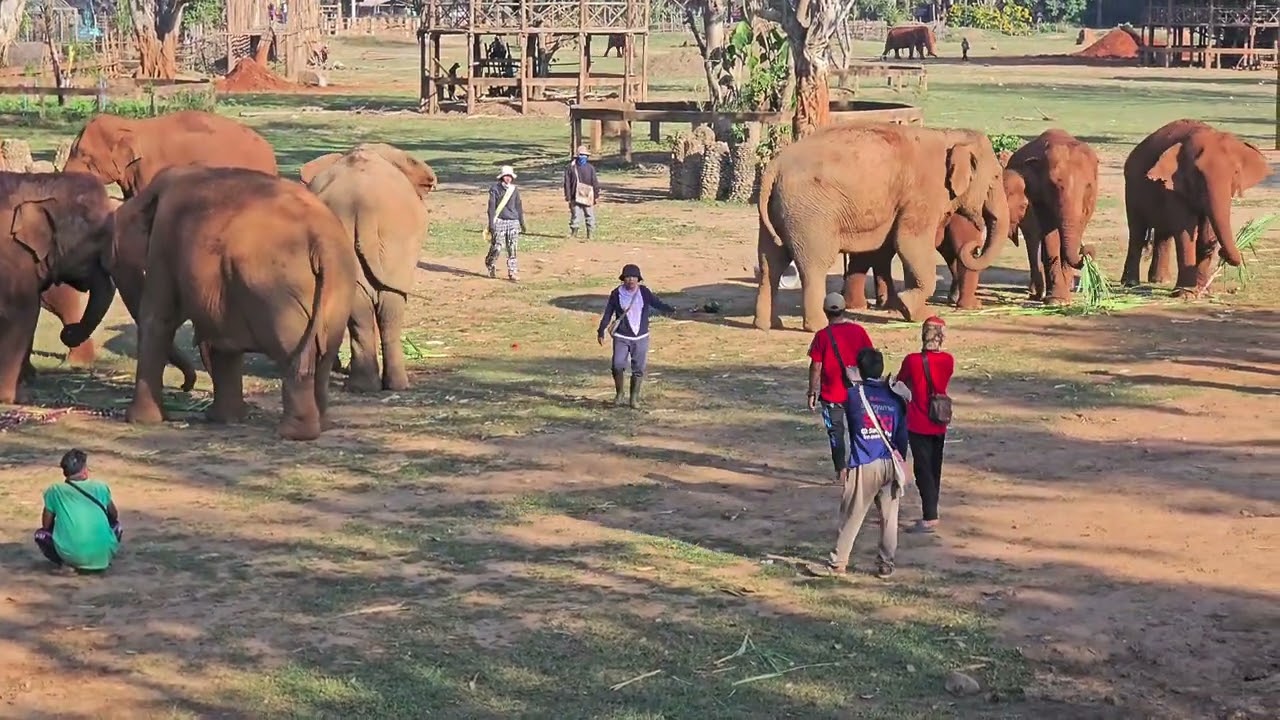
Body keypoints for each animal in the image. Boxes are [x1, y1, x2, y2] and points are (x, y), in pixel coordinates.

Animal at [0, 171, 116, 404]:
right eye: (97, 238)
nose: (67, 331)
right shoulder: (13, 257)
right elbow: (21, 313)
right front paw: (12, 398)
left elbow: (31, 312)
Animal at [67, 166, 358, 441]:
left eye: (109, 259)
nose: (185, 387)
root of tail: (322, 240)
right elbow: (222, 339)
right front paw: (224, 419)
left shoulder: (164, 243)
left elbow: (157, 319)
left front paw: (140, 420)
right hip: (339, 287)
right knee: (323, 354)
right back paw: (322, 425)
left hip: (279, 295)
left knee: (293, 353)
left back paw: (293, 433)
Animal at [755, 124, 1011, 329]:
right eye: (996, 177)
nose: (975, 247)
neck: (947, 134)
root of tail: (774, 168)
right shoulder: (922, 194)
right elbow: (909, 243)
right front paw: (919, 311)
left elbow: (895, 249)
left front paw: (905, 309)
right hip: (811, 213)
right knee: (813, 265)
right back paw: (818, 326)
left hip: (778, 212)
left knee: (771, 262)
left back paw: (768, 324)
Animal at [1005, 129, 1100, 305]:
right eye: (1053, 186)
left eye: (1088, 186)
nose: (1086, 250)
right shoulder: (1039, 196)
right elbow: (1051, 235)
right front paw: (1057, 300)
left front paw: (1063, 298)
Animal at [1121, 119, 1270, 296]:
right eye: (1198, 173)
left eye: (1235, 172)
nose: (1222, 252)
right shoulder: (1174, 186)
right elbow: (1185, 230)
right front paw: (1186, 294)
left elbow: (1206, 229)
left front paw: (1203, 291)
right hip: (1131, 188)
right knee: (1137, 232)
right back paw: (1130, 283)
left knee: (1163, 234)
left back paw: (1161, 280)